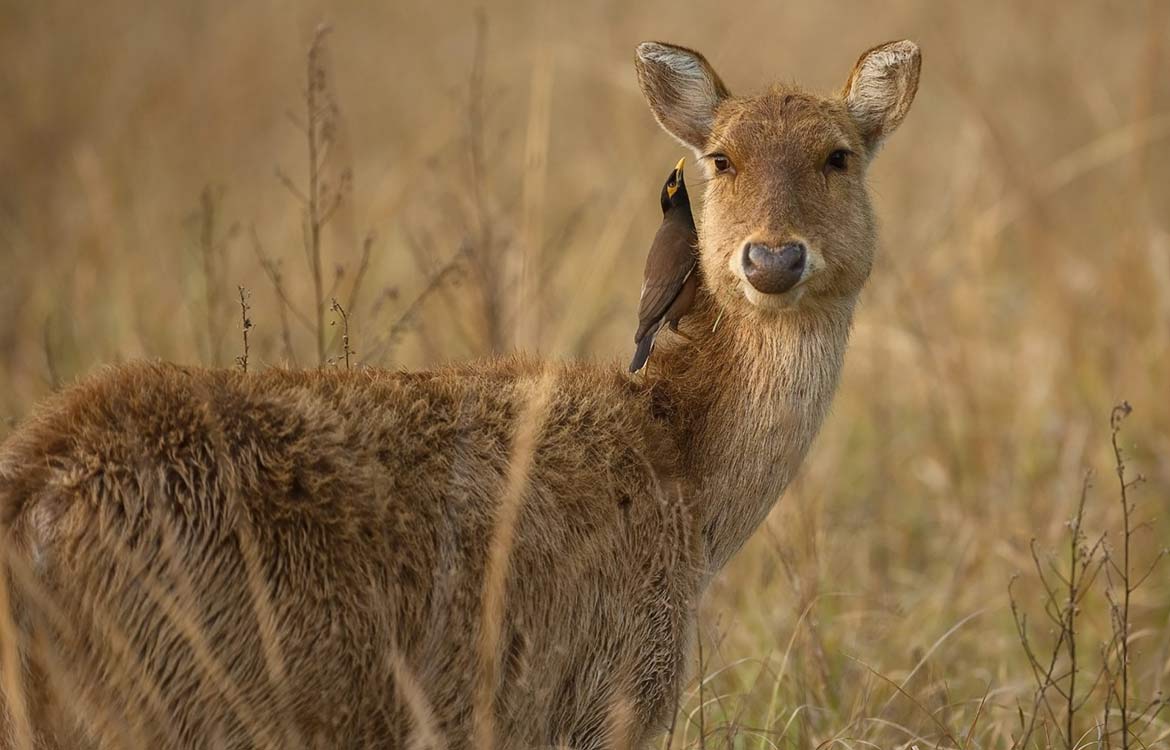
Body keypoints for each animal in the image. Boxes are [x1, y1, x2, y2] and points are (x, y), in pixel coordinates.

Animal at [0, 36, 912, 748]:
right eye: (721, 158)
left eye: (838, 155)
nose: (773, 258)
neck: (686, 483)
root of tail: (34, 497)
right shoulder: (601, 694)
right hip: (168, 698)